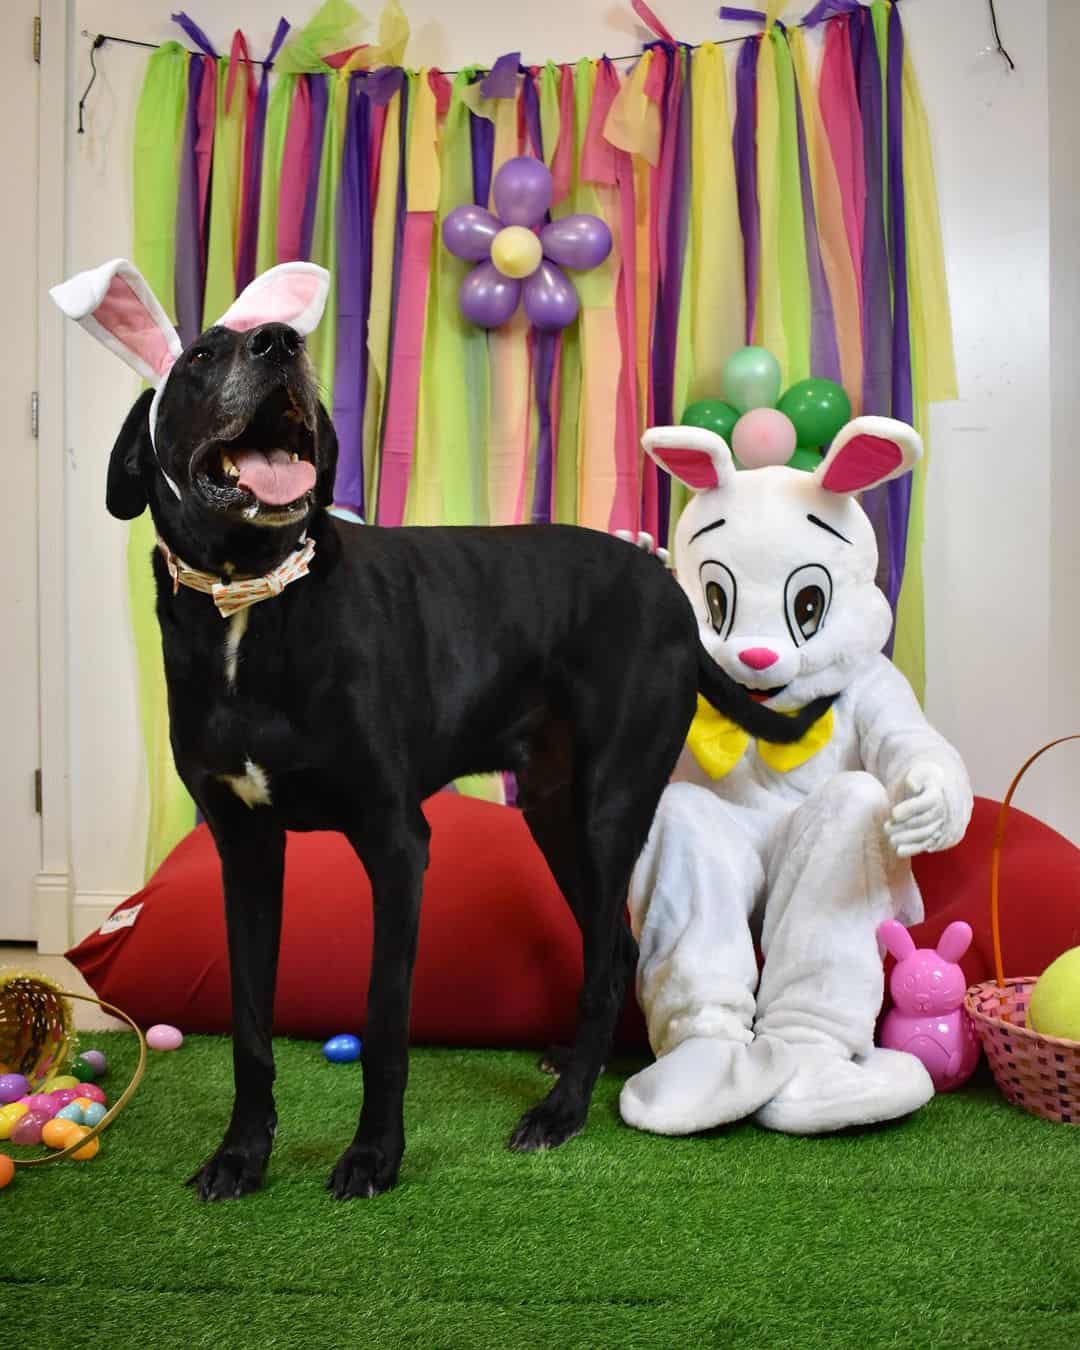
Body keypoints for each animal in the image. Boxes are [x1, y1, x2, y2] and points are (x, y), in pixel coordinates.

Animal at [107, 318, 826, 1204]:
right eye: (201, 355)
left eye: (278, 339)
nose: (280, 343)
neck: (252, 599)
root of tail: (674, 596)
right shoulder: (243, 852)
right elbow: (248, 1024)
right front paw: (241, 1155)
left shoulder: (395, 843)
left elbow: (384, 1021)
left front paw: (375, 1156)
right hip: (554, 811)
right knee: (612, 947)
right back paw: (576, 1067)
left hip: (608, 806)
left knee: (608, 956)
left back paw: (563, 1111)